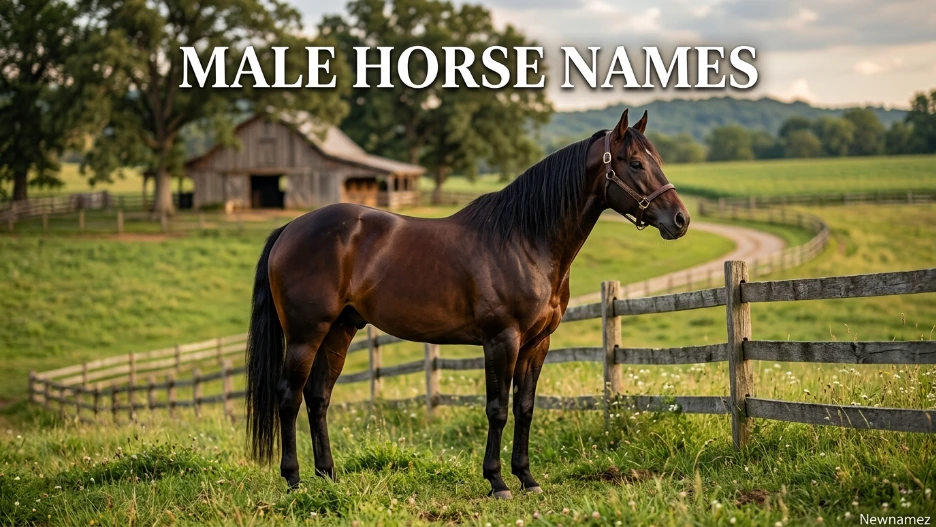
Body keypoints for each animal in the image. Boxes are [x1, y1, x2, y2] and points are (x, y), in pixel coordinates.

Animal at [245, 109, 690, 498]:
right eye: (635, 163)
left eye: (658, 160)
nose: (680, 220)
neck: (525, 239)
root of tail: (290, 228)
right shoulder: (501, 340)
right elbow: (497, 408)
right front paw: (497, 482)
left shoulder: (537, 344)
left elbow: (525, 407)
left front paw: (527, 478)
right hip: (305, 335)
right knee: (289, 396)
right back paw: (294, 480)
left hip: (340, 329)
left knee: (318, 396)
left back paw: (329, 476)